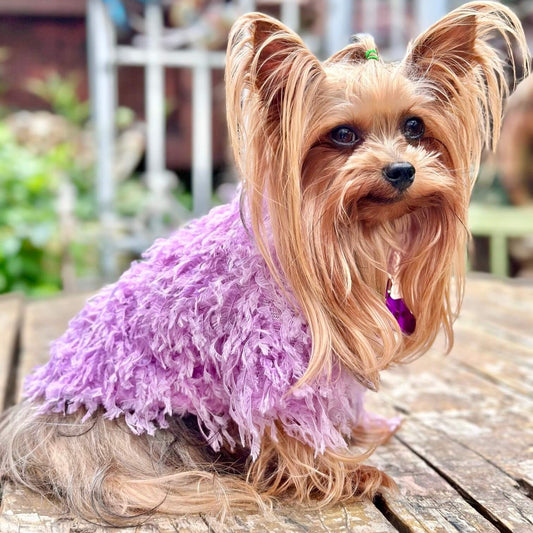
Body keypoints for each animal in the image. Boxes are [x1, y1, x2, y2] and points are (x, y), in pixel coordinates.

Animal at [0, 0, 524, 524]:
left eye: (415, 126)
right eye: (343, 134)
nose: (401, 169)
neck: (344, 234)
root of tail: (31, 425)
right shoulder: (269, 356)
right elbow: (289, 424)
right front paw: (344, 473)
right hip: (138, 421)